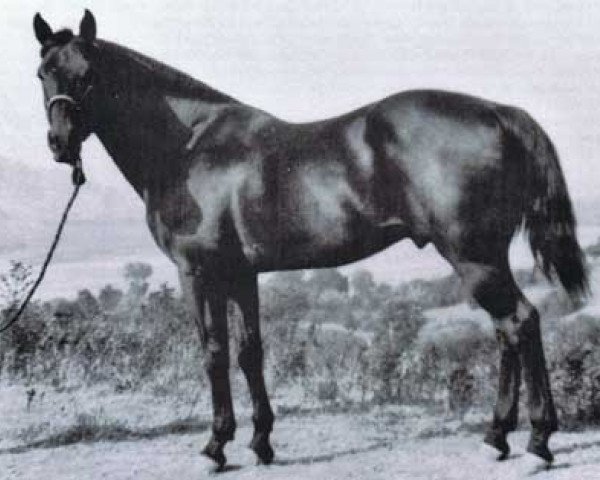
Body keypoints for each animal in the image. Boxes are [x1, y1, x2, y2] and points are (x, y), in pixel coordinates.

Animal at [31, 10, 584, 468]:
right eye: (43, 73)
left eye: (89, 74)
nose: (60, 145)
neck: (189, 145)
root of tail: (498, 112)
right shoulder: (241, 275)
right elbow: (249, 351)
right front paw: (261, 443)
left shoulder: (198, 273)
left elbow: (214, 352)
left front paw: (215, 446)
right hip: (484, 259)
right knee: (508, 330)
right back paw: (497, 437)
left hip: (473, 257)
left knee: (521, 322)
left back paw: (537, 442)